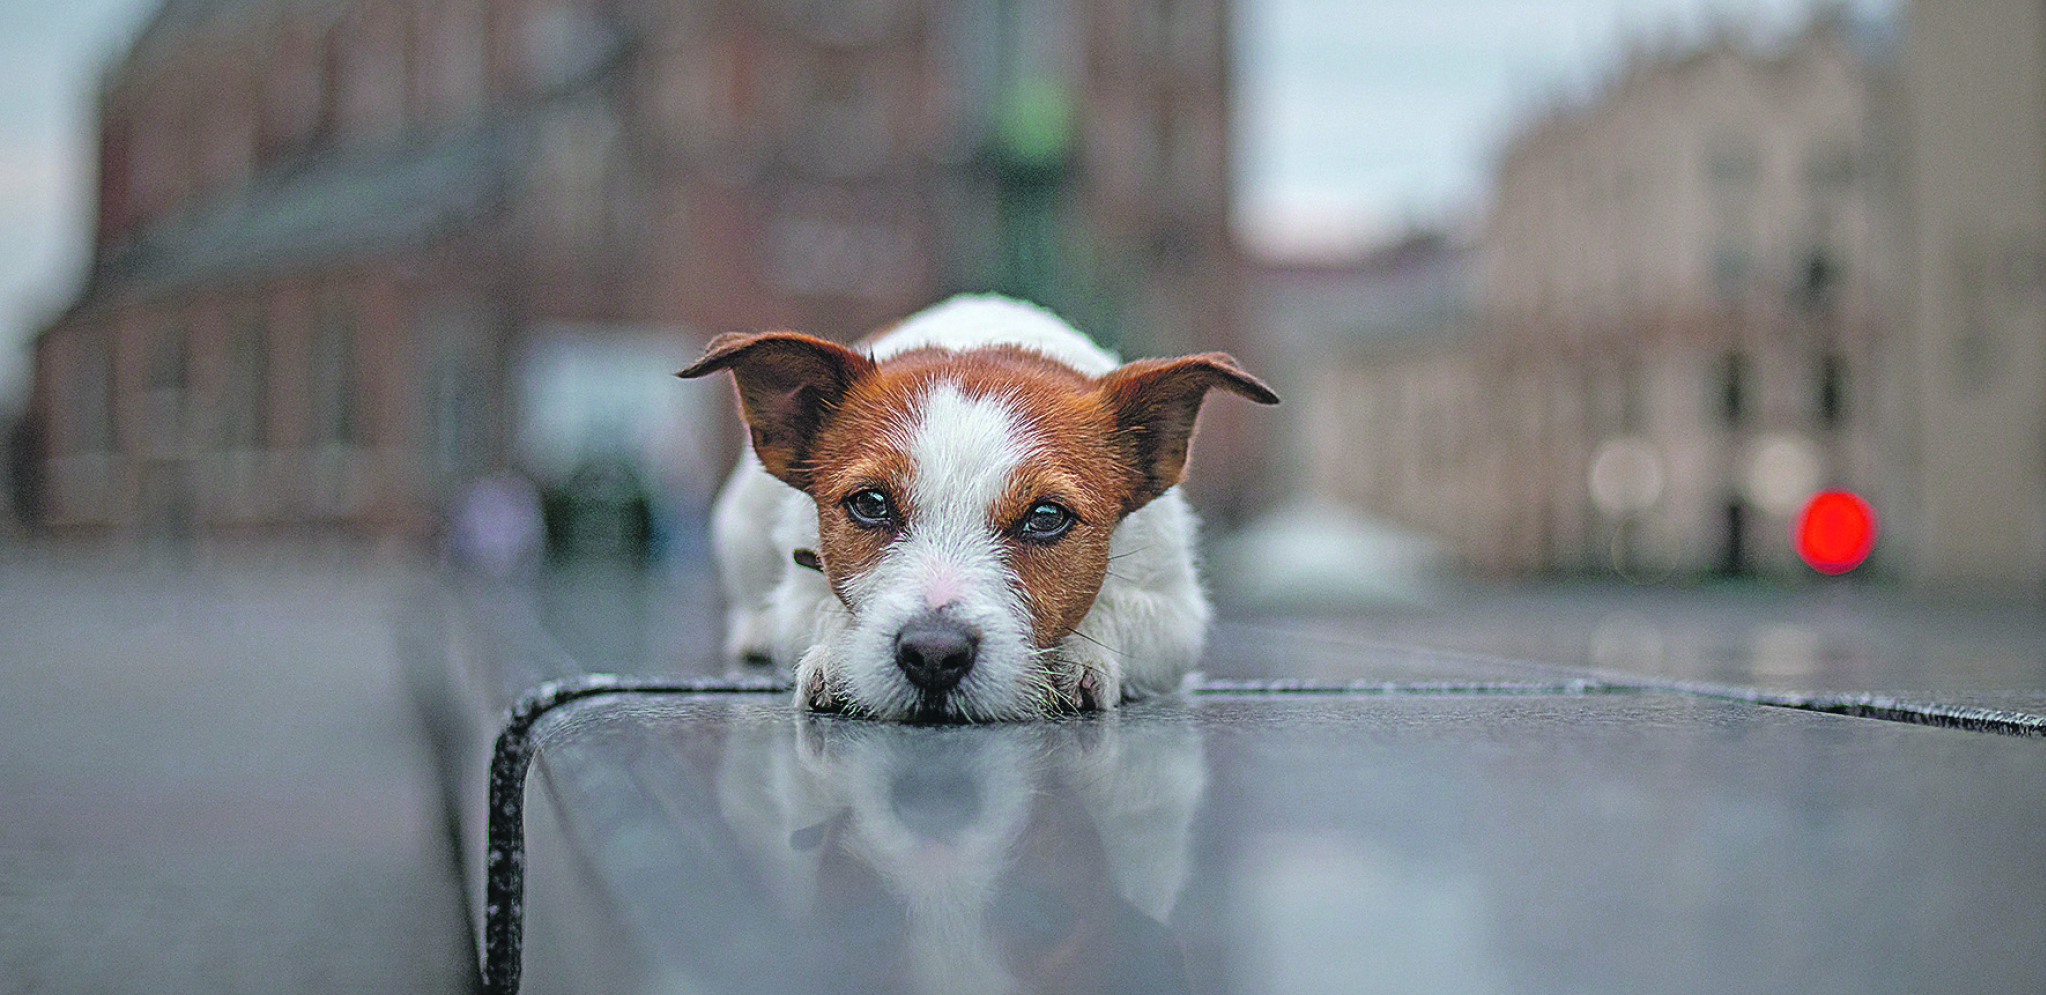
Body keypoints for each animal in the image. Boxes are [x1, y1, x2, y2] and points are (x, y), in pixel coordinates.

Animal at [679, 294, 1268, 724]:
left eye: (1046, 517)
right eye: (870, 503)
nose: (934, 655)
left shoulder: (1176, 611)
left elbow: (1124, 612)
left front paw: (1074, 656)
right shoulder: (801, 592)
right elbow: (822, 608)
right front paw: (843, 653)